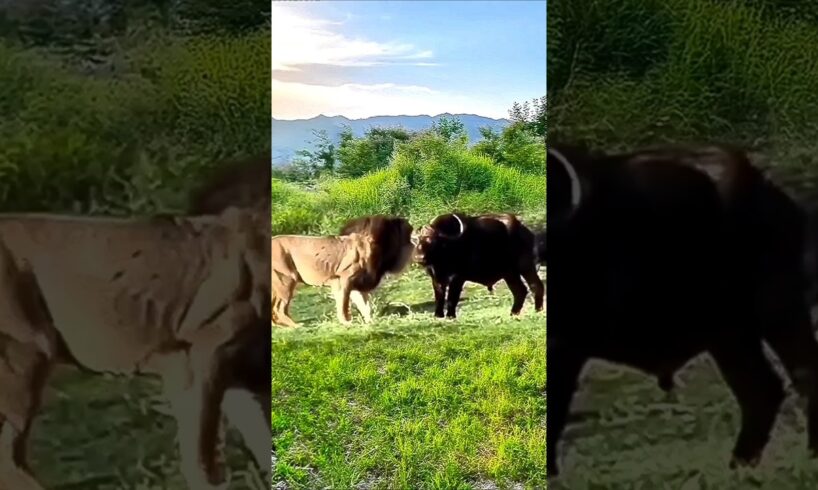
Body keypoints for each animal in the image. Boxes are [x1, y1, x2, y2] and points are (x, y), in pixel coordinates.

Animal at [0, 207, 268, 490]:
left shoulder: (235, 371)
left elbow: (260, 435)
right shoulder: (198, 357)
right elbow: (200, 451)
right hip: (24, 356)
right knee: (8, 459)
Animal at [540, 144, 816, 476]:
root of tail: (768, 191)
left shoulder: (564, 348)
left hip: (776, 305)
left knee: (803, 375)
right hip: (729, 333)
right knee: (762, 390)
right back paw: (739, 465)